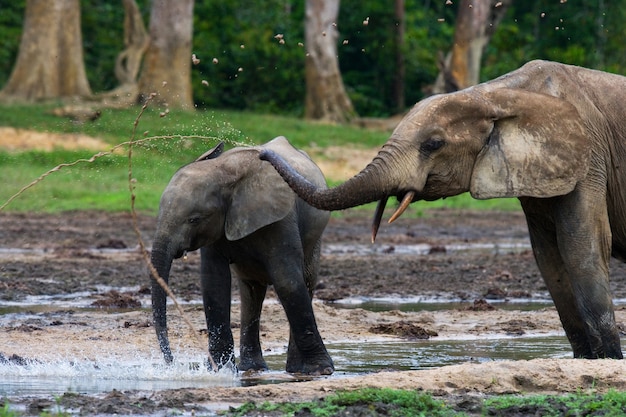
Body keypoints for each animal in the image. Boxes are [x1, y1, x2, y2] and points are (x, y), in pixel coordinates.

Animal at [147, 136, 332, 374]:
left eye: (194, 219)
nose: (171, 361)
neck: (222, 171)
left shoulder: (280, 218)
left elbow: (287, 281)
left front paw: (321, 370)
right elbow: (214, 283)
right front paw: (218, 369)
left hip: (314, 239)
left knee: (304, 282)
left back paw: (295, 370)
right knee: (251, 292)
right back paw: (252, 368)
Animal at [260, 60, 624, 360]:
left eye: (433, 145)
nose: (263, 151)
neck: (498, 93)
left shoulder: (589, 160)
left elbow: (581, 248)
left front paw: (606, 361)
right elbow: (550, 259)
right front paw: (586, 360)